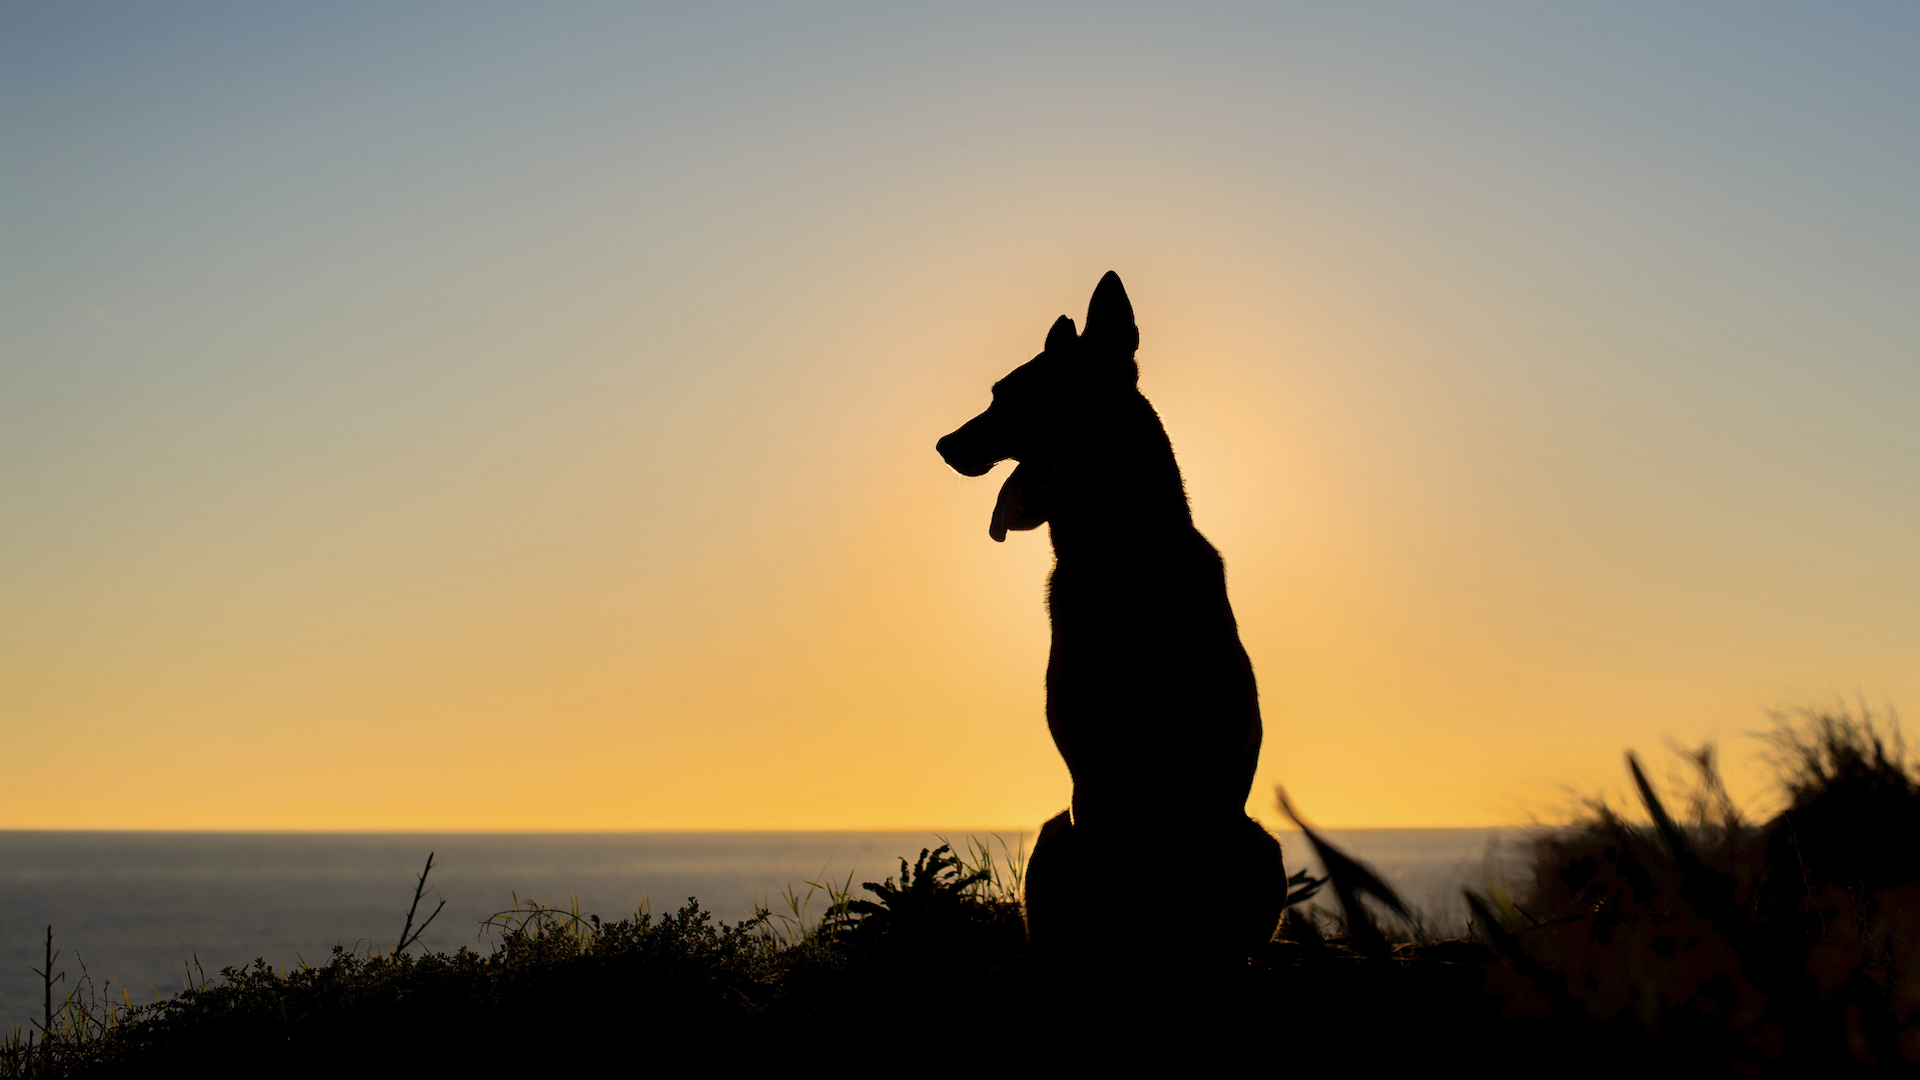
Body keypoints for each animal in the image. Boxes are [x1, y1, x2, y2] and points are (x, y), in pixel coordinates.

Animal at [933, 269, 1282, 957]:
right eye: (996, 393)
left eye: (1019, 396)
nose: (943, 445)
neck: (1120, 555)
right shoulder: (1091, 777)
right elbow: (1111, 898)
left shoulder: (1209, 777)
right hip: (1054, 836)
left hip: (1262, 846)